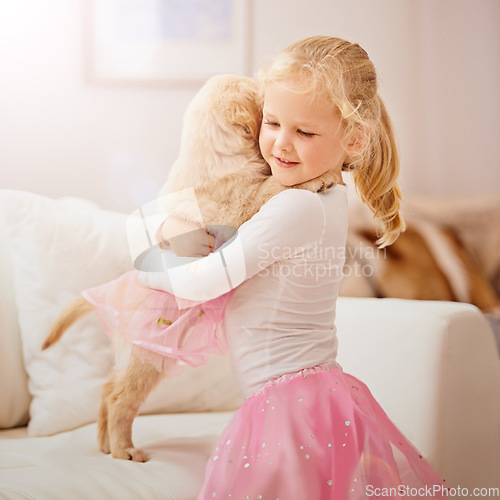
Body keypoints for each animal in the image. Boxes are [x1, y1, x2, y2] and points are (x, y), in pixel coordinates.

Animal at [43, 74, 340, 460]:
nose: (268, 81)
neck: (215, 150)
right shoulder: (239, 209)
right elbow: (271, 185)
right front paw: (320, 176)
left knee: (108, 388)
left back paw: (105, 444)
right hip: (145, 355)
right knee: (122, 398)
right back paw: (124, 451)